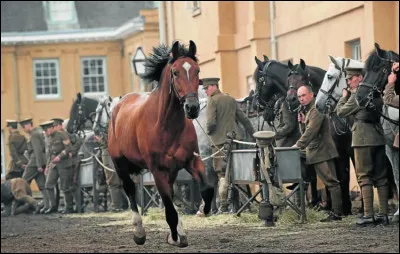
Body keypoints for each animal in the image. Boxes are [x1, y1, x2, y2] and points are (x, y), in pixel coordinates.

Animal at [106, 40, 214, 247]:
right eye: (175, 72)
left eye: (197, 70)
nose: (192, 108)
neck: (166, 126)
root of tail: (119, 104)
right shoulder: (157, 170)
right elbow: (170, 210)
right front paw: (174, 237)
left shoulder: (191, 161)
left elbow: (207, 188)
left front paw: (203, 210)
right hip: (120, 164)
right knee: (130, 190)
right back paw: (139, 232)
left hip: (171, 171)